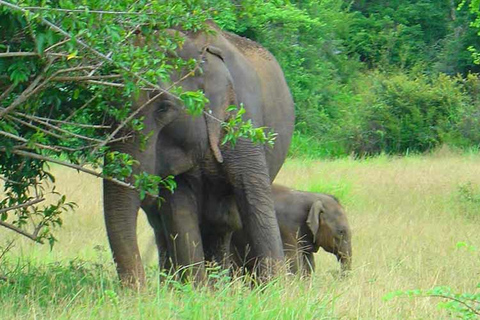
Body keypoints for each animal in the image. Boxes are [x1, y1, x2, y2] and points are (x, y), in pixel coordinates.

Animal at [103, 23, 294, 288]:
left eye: (164, 108)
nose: (139, 290)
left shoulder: (243, 118)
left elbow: (252, 194)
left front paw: (277, 290)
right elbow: (179, 206)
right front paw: (195, 289)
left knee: (223, 223)